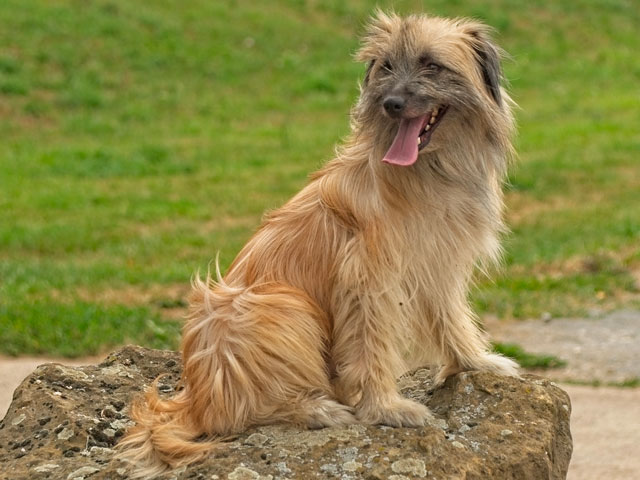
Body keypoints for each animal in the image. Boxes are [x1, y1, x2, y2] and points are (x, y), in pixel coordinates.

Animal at [117, 11, 520, 476]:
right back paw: (315, 409)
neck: (429, 170)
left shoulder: (438, 263)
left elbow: (451, 318)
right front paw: (386, 408)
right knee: (237, 413)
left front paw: (476, 362)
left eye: (431, 64)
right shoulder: (367, 278)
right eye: (386, 66)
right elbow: (371, 344)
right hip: (277, 305)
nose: (391, 104)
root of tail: (195, 399)